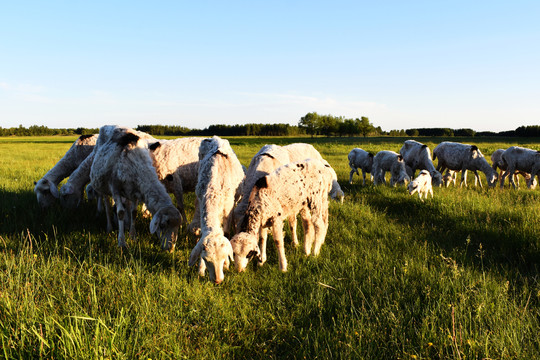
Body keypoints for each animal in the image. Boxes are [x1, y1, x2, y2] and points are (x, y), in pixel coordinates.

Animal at [187, 136, 244, 286]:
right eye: (207, 259)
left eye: (224, 256)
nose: (217, 281)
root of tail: (214, 138)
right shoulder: (201, 199)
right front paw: (200, 271)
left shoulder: (229, 208)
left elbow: (227, 232)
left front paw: (227, 265)